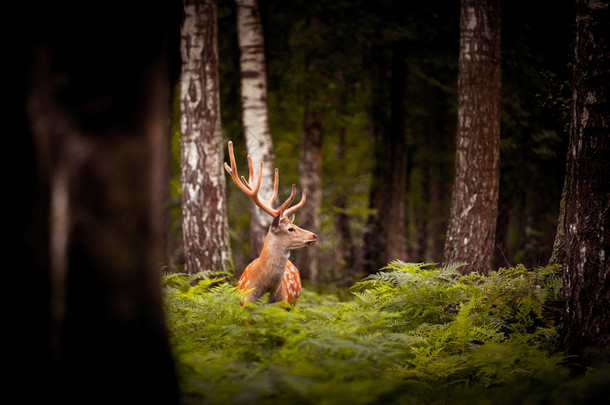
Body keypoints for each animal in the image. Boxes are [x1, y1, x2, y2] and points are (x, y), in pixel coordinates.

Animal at [224, 140, 318, 304]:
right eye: (290, 229)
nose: (314, 235)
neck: (265, 292)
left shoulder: (283, 305)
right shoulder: (244, 305)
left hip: (294, 303)